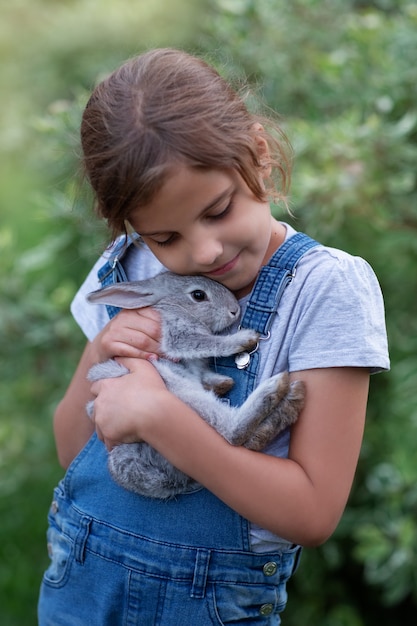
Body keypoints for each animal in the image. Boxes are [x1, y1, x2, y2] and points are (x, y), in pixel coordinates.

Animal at [86, 272, 304, 498]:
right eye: (198, 295)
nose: (234, 310)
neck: (175, 305)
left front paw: (221, 382)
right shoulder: (178, 333)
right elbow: (208, 342)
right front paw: (245, 338)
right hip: (174, 393)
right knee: (231, 433)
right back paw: (278, 391)